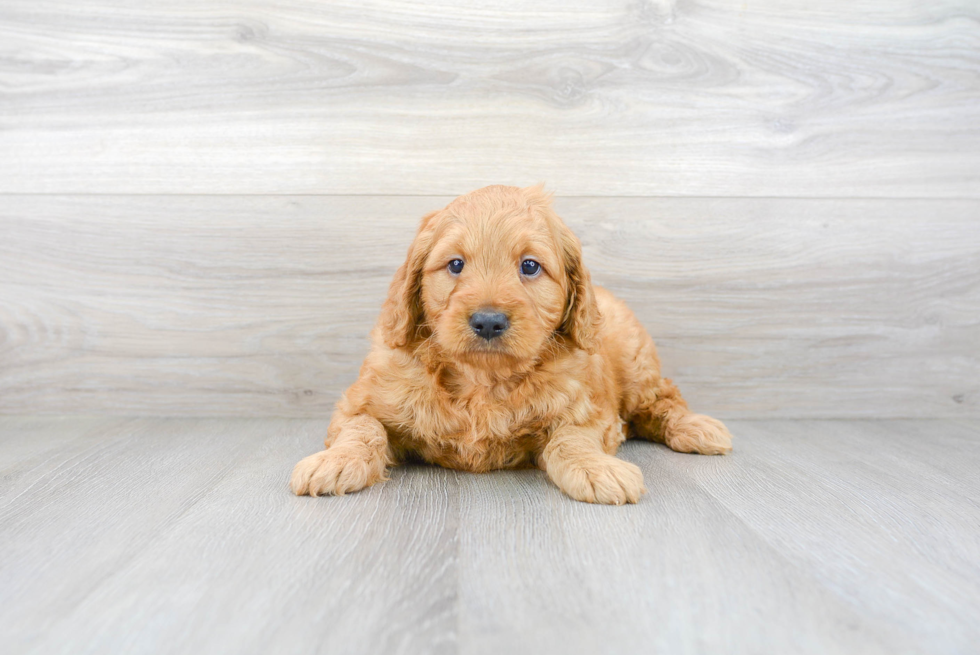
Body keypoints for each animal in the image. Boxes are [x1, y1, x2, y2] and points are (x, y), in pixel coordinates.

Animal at [294, 187, 732, 504]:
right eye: (456, 265)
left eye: (530, 266)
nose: (488, 320)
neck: (483, 381)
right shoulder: (361, 400)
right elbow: (363, 428)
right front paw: (335, 462)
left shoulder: (588, 410)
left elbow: (571, 438)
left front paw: (596, 469)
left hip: (637, 366)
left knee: (662, 400)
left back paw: (697, 428)